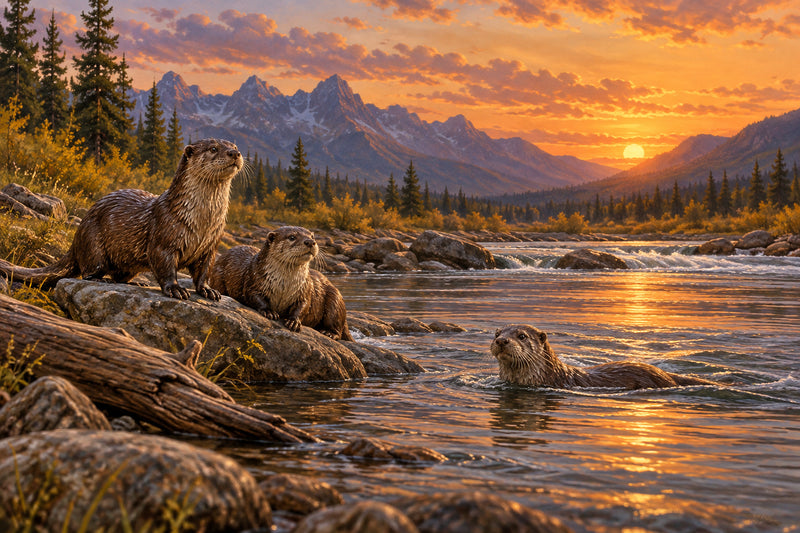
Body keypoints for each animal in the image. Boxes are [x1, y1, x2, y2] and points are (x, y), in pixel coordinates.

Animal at [0, 139, 243, 300]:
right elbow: (164, 266)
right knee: (89, 270)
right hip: (93, 242)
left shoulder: (210, 246)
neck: (203, 222)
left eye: (235, 146)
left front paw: (208, 290)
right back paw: (100, 279)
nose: (235, 153)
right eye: (213, 149)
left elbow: (204, 271)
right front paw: (176, 289)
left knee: (120, 275)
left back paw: (136, 281)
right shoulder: (163, 238)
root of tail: (76, 238)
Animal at [210, 226, 354, 341]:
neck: (284, 287)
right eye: (292, 237)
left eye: (312, 236)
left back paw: (329, 333)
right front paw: (269, 312)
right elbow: (253, 296)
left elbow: (304, 305)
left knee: (337, 325)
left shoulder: (305, 289)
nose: (310, 242)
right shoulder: (254, 279)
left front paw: (294, 321)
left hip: (335, 300)